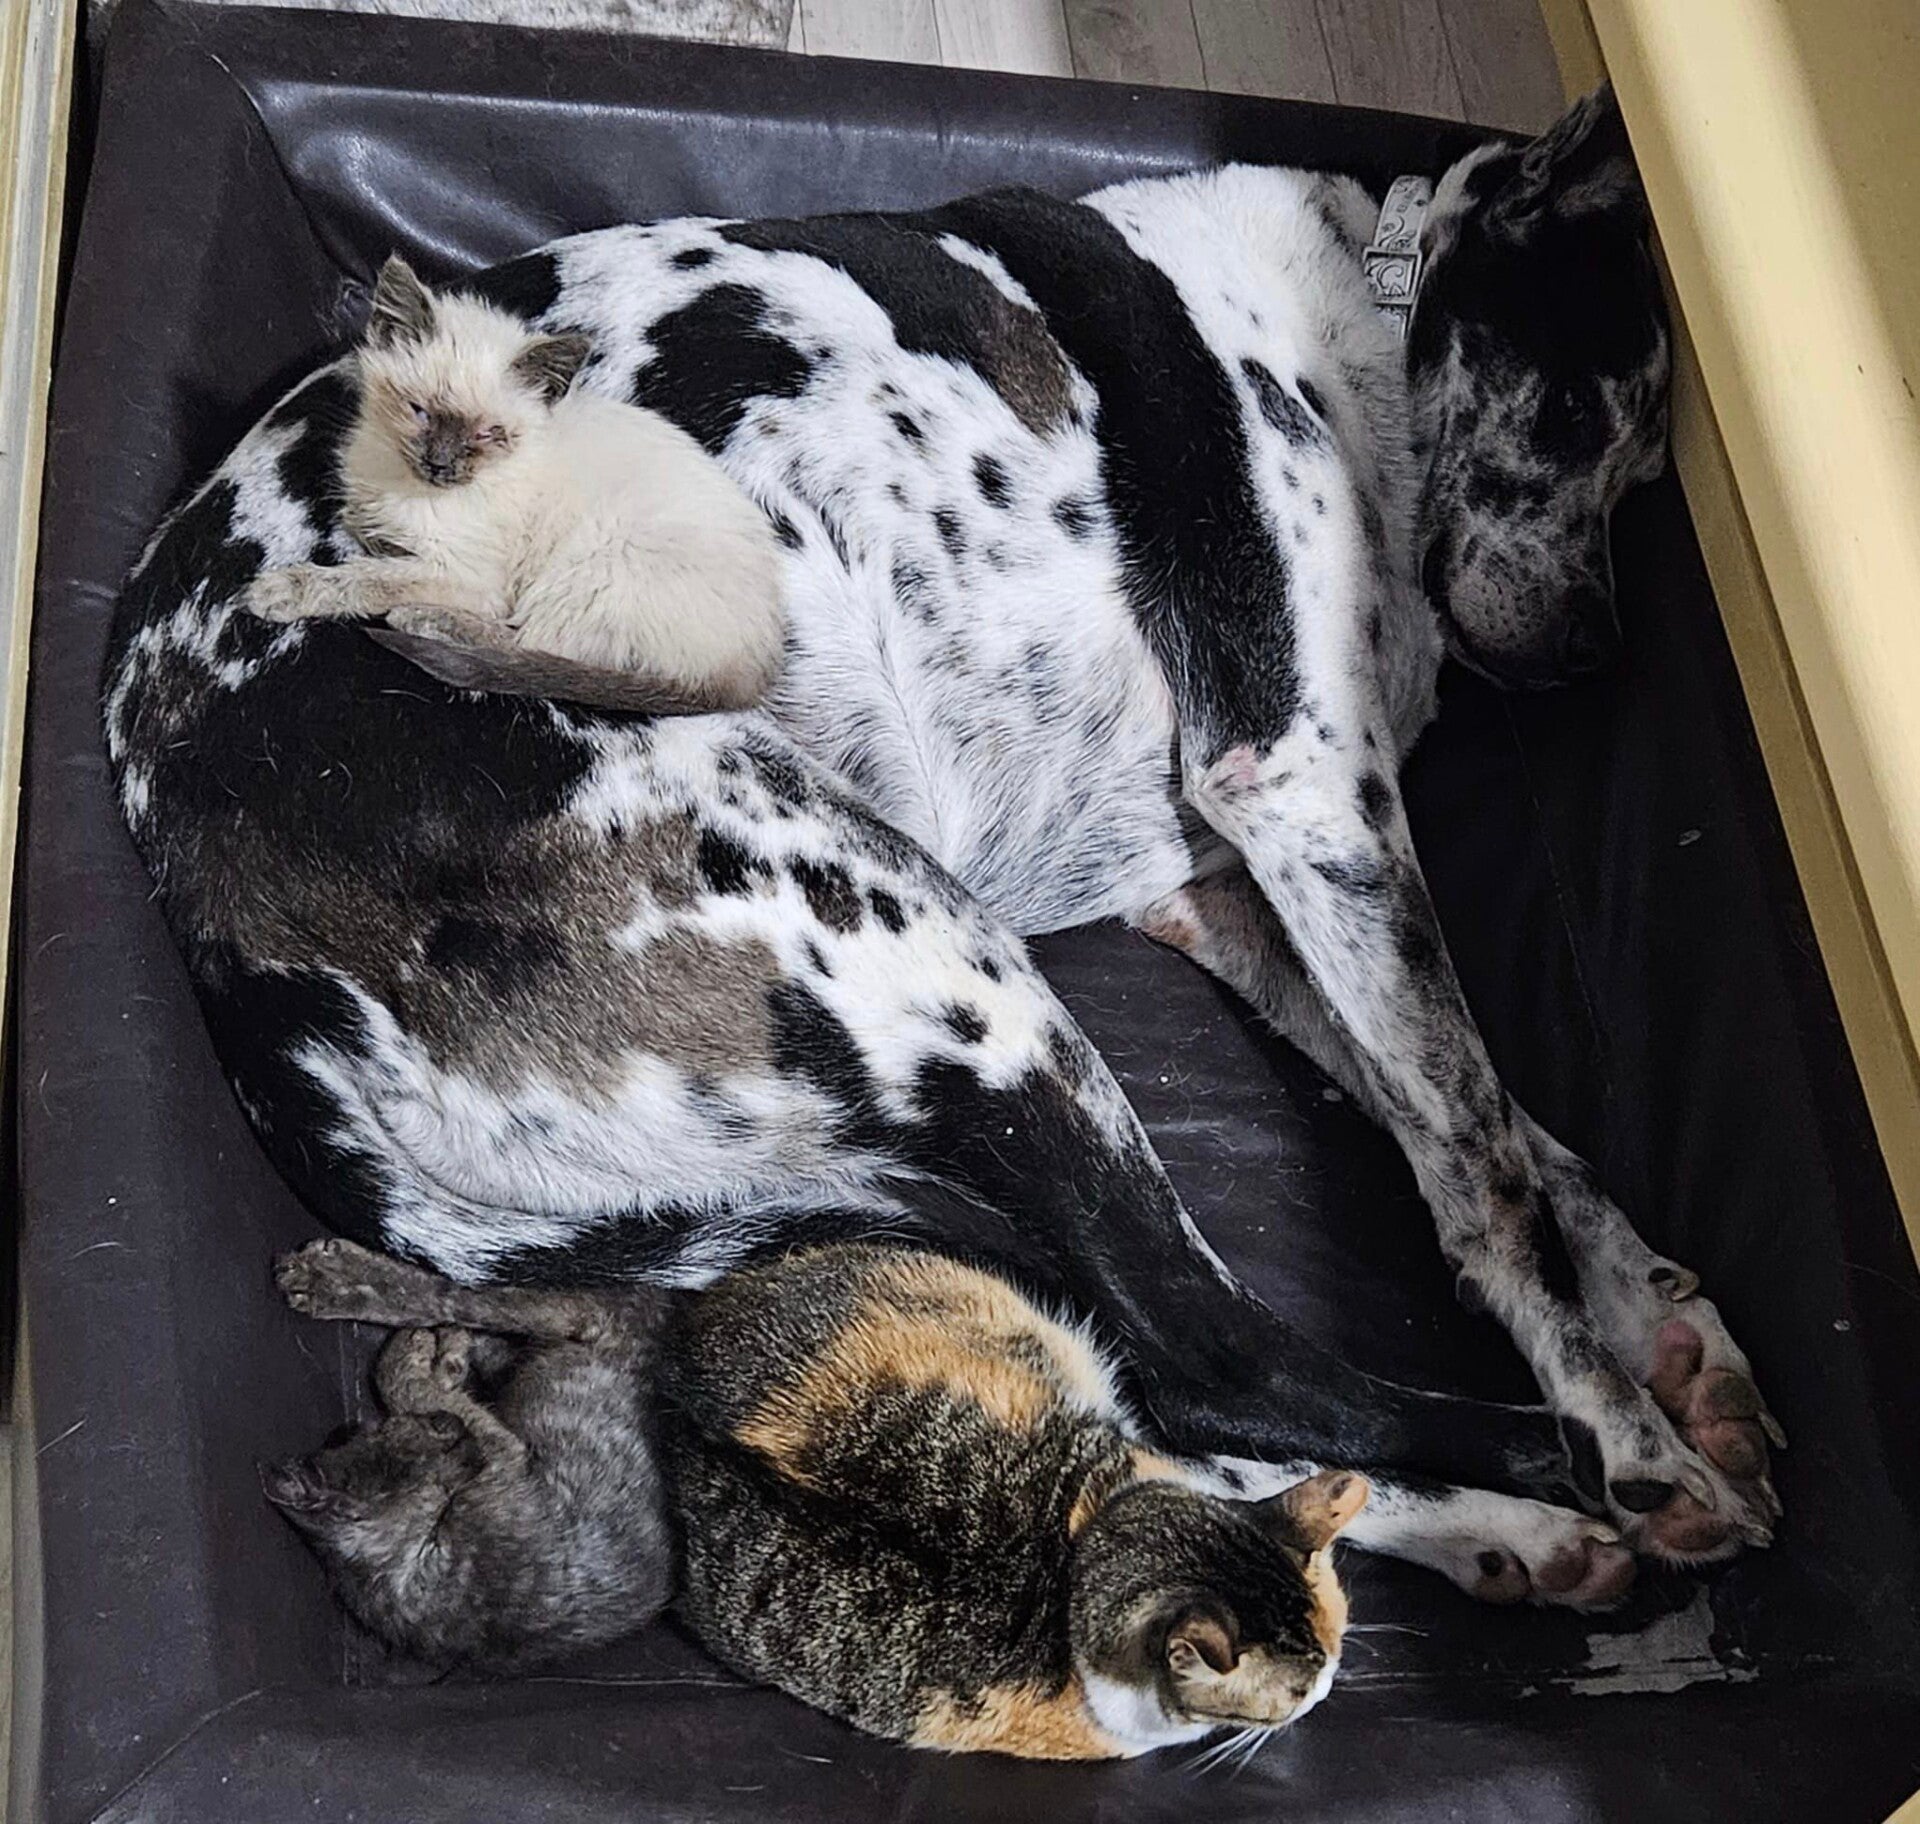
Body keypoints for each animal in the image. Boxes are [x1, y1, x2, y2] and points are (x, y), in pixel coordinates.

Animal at [244, 255, 786, 714]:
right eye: (419, 412)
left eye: (488, 434)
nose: (440, 465)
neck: (399, 482)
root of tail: (753, 675)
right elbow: (367, 537)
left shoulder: (464, 572)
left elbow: (367, 578)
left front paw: (282, 590)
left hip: (587, 566)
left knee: (532, 646)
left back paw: (420, 620)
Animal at [263, 1237, 676, 1669]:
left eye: (382, 1429)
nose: (449, 1428)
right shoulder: (501, 1454)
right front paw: (429, 1362)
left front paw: (429, 1362)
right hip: (584, 1316)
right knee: (472, 1300)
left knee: (472, 1298)